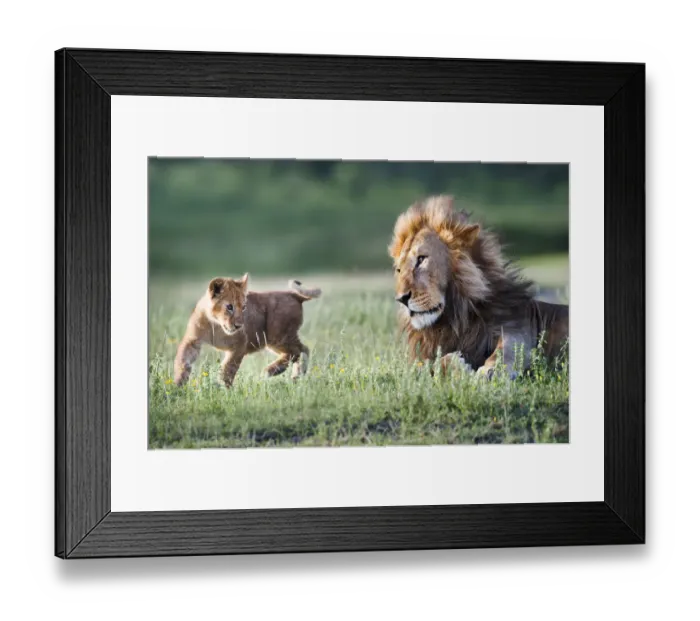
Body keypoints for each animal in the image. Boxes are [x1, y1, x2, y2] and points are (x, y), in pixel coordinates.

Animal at [173, 275, 321, 388]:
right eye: (229, 307)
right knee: (299, 351)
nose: (239, 325)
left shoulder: (240, 344)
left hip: (278, 336)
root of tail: (294, 295)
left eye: (244, 307)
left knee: (299, 351)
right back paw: (290, 375)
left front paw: (223, 388)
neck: (215, 324)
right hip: (275, 339)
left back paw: (276, 371)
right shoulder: (193, 340)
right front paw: (178, 384)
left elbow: (229, 368)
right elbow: (182, 359)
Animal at [388, 195, 569, 379]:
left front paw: (490, 371)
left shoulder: (518, 329)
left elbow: (506, 350)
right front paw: (457, 364)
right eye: (399, 269)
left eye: (421, 259)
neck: (455, 318)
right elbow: (430, 365)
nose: (401, 299)